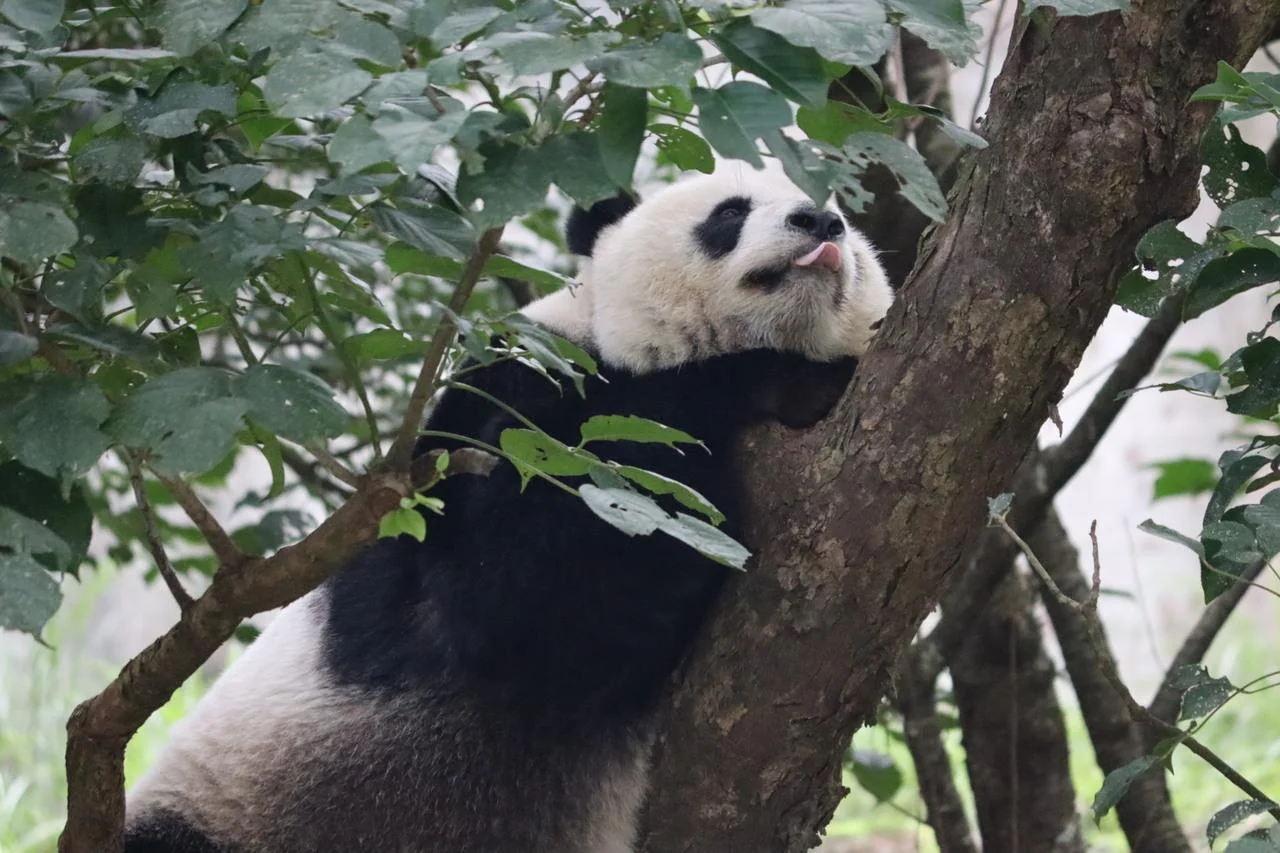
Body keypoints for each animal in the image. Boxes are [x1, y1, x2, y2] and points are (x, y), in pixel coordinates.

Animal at [124, 164, 893, 853]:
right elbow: (522, 594)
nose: (821, 223)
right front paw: (786, 381)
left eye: (846, 224)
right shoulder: (514, 400)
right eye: (730, 213)